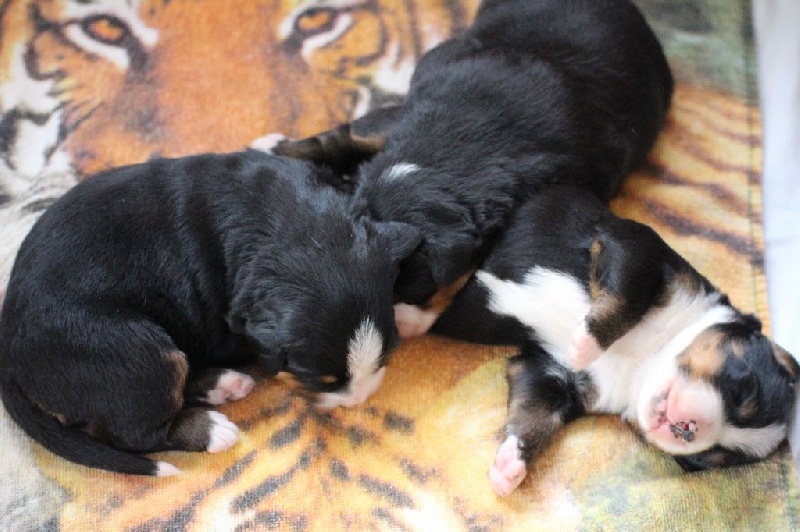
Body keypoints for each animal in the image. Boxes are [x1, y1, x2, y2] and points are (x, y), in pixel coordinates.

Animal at [0, 149, 422, 474]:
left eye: (390, 350)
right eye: (320, 379)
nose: (360, 399)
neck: (286, 224)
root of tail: (9, 354)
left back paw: (226, 385)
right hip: (132, 351)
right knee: (137, 432)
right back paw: (213, 429)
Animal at [432, 186, 800, 494]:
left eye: (711, 457)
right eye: (743, 391)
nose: (686, 429)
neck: (646, 358)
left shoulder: (552, 373)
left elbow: (534, 412)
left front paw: (511, 465)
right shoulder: (639, 246)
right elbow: (628, 294)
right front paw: (586, 343)